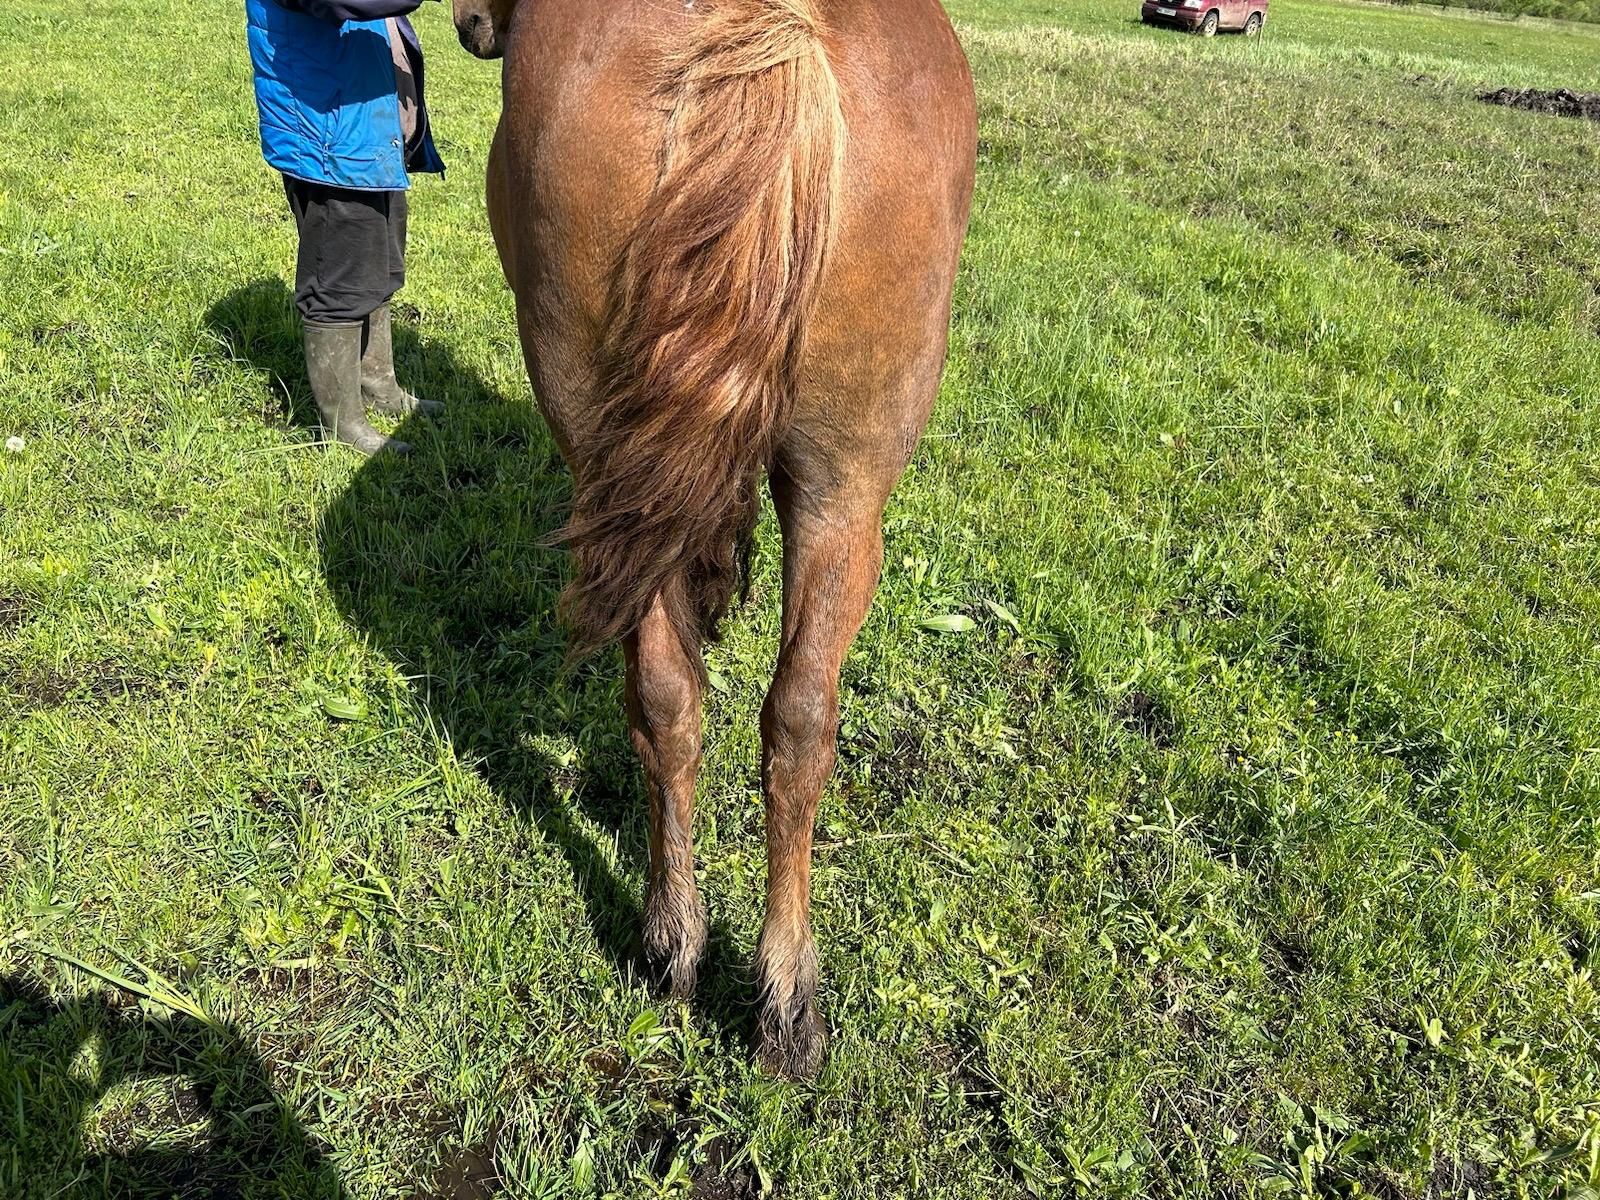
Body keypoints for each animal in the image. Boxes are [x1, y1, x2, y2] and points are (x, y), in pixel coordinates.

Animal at [448, 0, 972, 1081]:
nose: (468, 23)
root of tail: (770, 31)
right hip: (836, 490)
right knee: (774, 712)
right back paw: (760, 985)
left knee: (704, 702)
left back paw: (691, 952)